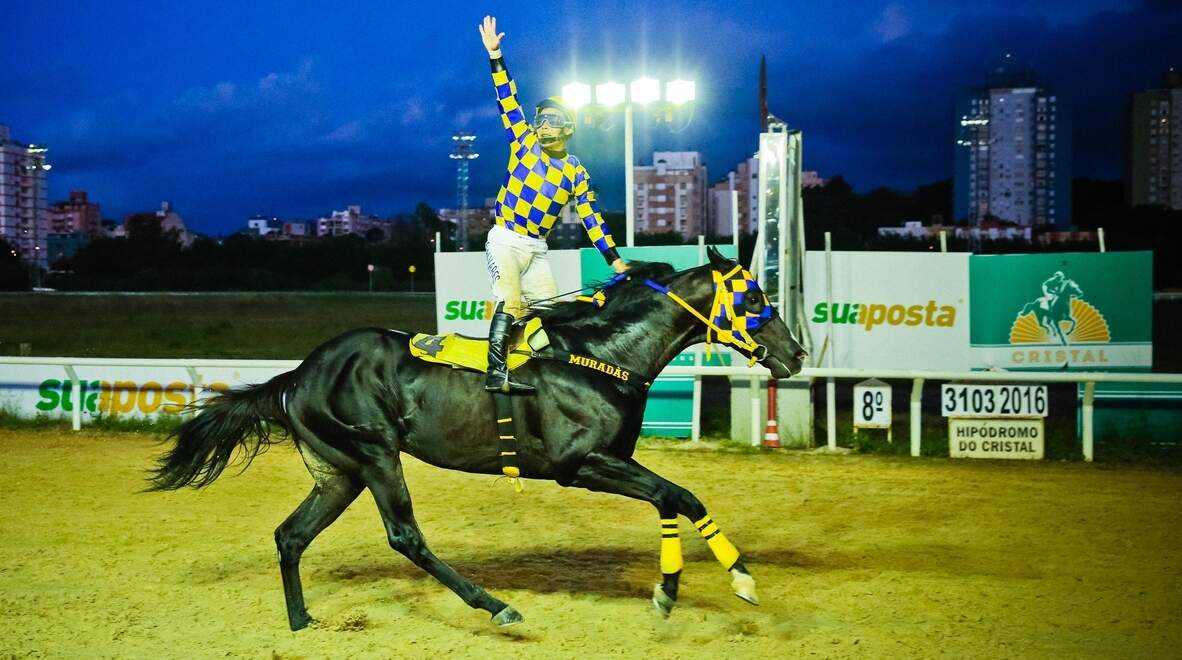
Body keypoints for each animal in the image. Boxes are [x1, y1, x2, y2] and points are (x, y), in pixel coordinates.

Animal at [150, 248, 803, 629]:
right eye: (753, 298)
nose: (796, 355)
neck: (599, 354)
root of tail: (299, 374)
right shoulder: (581, 464)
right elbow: (674, 496)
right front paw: (689, 587)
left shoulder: (612, 460)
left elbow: (679, 498)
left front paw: (712, 581)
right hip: (375, 456)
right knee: (405, 536)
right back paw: (493, 604)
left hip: (340, 473)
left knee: (290, 535)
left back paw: (301, 621)